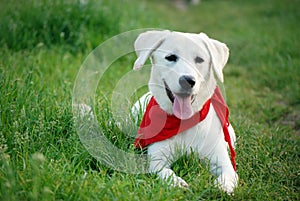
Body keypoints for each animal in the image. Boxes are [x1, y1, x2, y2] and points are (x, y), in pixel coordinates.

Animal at [132, 29, 238, 193]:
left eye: (199, 60)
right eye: (170, 57)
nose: (187, 80)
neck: (184, 121)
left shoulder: (223, 163)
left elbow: (228, 175)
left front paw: (222, 187)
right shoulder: (157, 160)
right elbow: (165, 172)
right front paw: (176, 182)